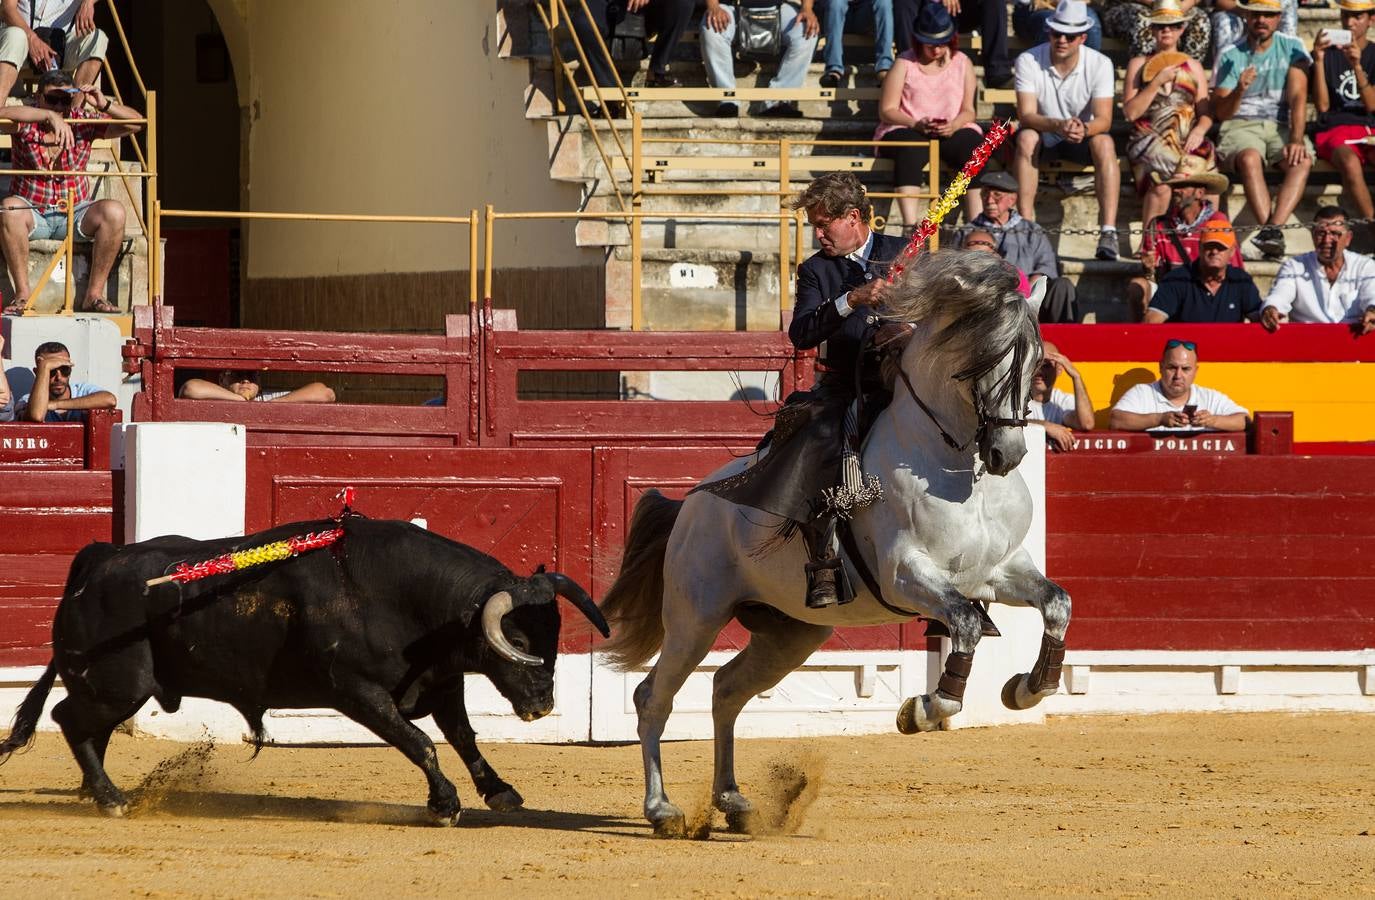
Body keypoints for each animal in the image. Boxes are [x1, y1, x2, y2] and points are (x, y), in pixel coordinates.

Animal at [0, 513, 607, 824]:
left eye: (552, 634)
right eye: (519, 639)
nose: (543, 706)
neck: (412, 601)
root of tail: (100, 558)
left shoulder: (439, 683)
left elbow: (462, 736)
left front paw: (500, 793)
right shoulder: (357, 692)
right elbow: (420, 742)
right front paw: (445, 805)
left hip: (112, 687)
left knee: (87, 727)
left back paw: (95, 791)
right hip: (119, 684)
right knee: (71, 719)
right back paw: (111, 798)